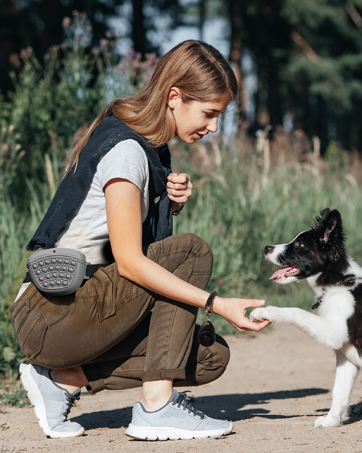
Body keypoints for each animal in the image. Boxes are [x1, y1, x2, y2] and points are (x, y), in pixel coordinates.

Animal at [250, 208, 362, 428]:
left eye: (300, 245)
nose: (267, 248)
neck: (337, 281)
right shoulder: (345, 354)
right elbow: (339, 391)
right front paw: (331, 420)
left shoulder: (335, 332)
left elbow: (296, 311)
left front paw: (264, 312)